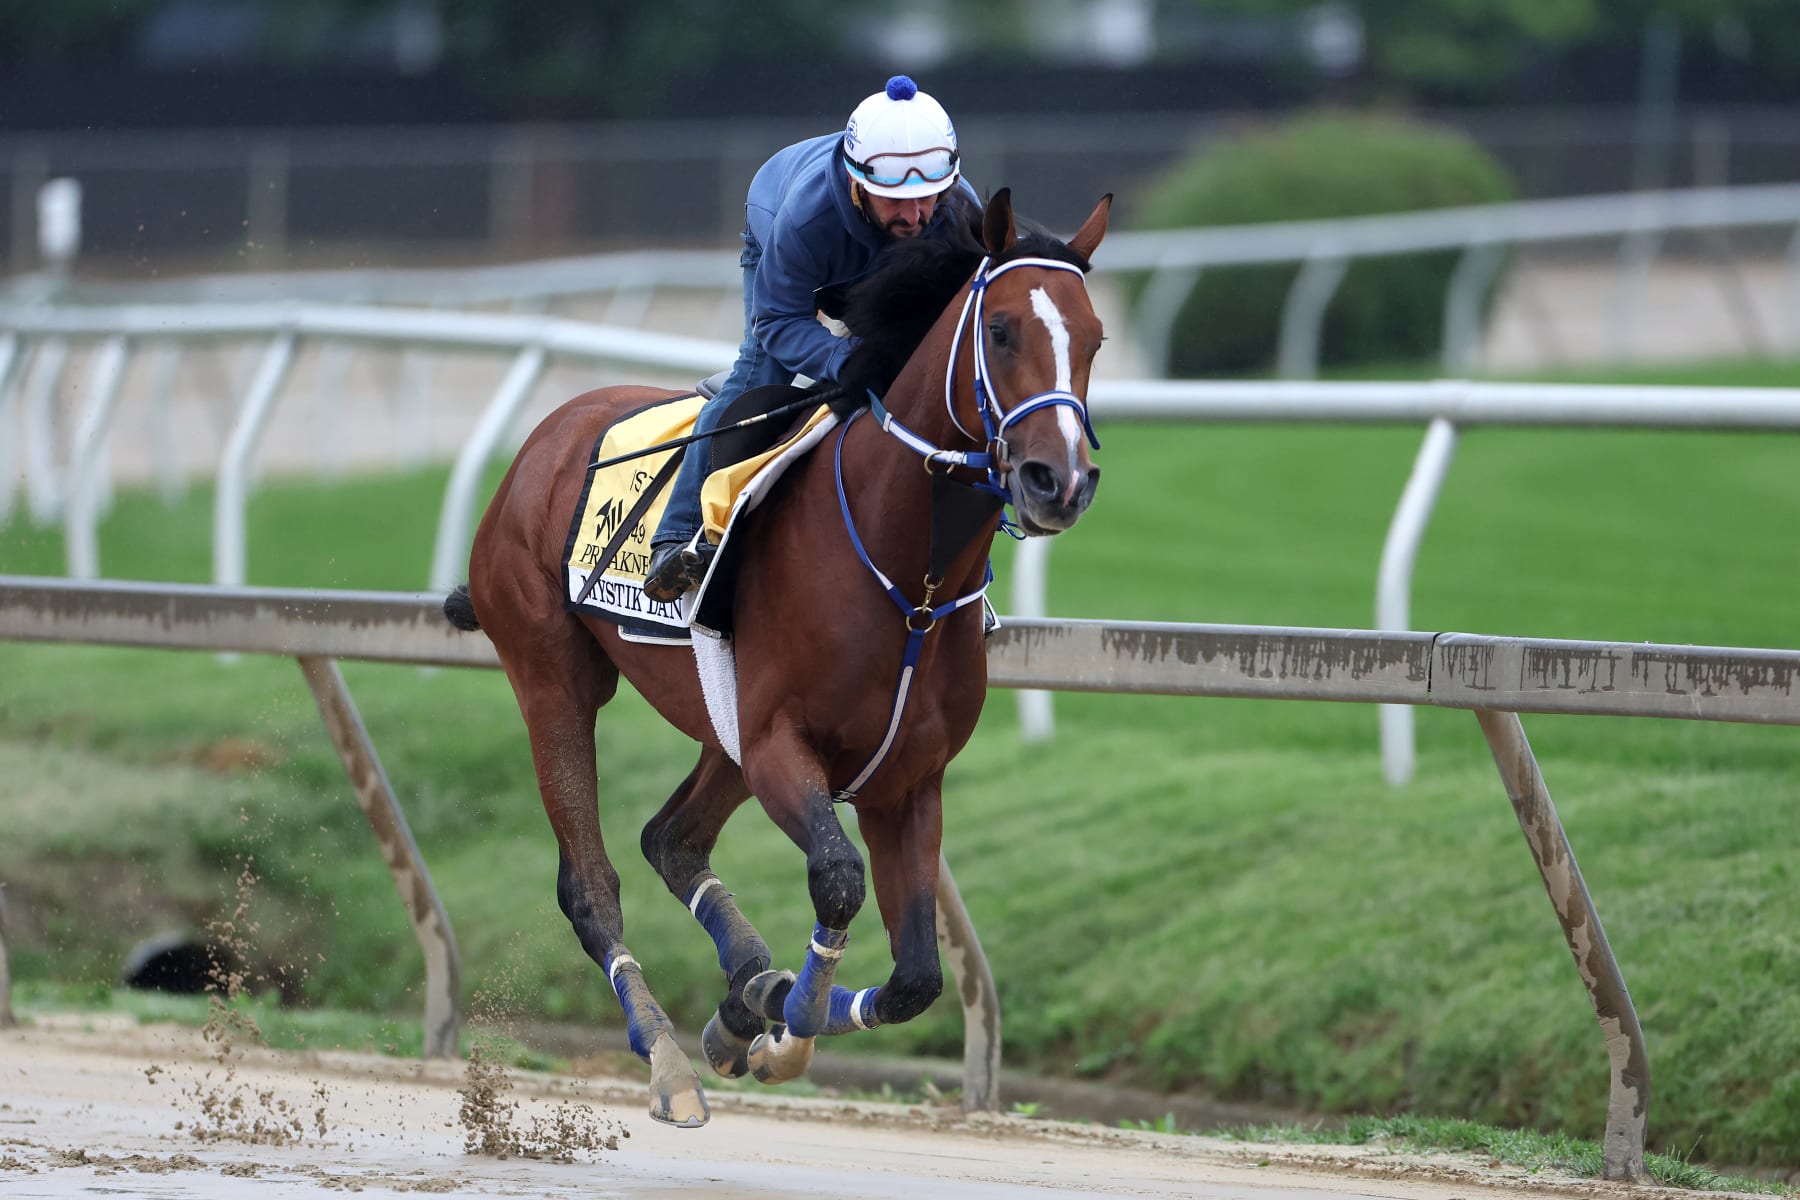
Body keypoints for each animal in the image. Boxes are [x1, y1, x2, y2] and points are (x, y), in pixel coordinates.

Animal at [445, 187, 1111, 1127]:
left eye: (1095, 337)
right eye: (1004, 329)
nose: (1060, 481)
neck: (909, 579)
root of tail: (547, 436)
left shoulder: (906, 779)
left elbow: (916, 977)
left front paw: (754, 1014)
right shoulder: (777, 748)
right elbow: (837, 878)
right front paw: (779, 1026)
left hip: (719, 729)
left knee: (671, 840)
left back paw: (742, 990)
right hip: (552, 678)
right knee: (590, 885)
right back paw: (667, 1062)